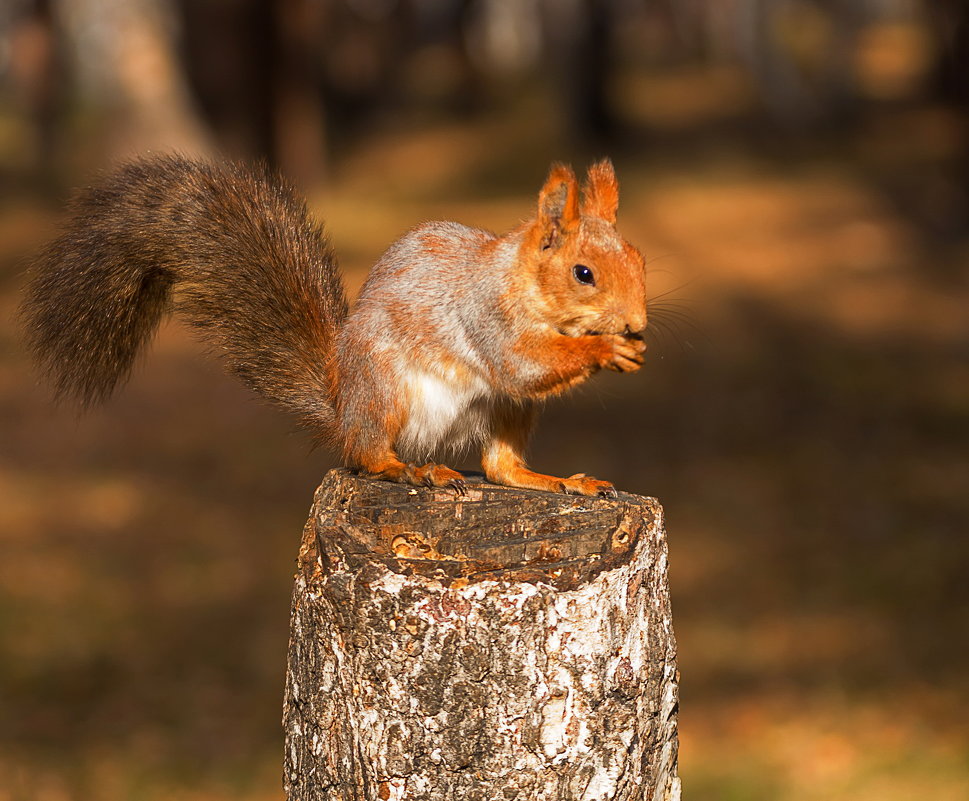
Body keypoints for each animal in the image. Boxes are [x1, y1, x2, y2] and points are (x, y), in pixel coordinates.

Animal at [18, 155, 648, 494]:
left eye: (639, 258)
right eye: (584, 273)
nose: (638, 323)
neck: (521, 282)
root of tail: (343, 406)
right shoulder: (483, 315)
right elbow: (521, 363)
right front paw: (604, 350)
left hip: (508, 412)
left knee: (500, 468)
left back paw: (560, 481)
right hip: (386, 390)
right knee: (367, 455)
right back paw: (407, 469)